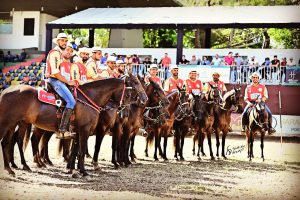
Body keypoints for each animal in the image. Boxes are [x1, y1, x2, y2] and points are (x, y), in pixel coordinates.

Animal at [0, 74, 147, 177]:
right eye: (134, 84)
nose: (125, 113)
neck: (90, 98)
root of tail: (5, 91)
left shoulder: (77, 131)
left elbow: (75, 151)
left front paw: (72, 169)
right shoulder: (88, 130)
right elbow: (84, 150)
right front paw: (84, 171)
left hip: (18, 124)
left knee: (11, 142)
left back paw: (14, 167)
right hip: (9, 123)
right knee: (24, 141)